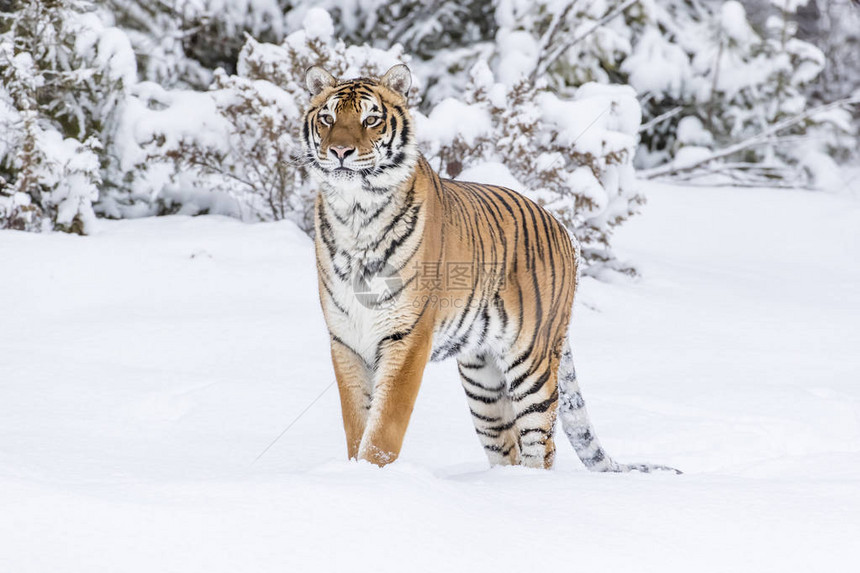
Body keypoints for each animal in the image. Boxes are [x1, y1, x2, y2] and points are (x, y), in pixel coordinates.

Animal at [302, 63, 680, 474]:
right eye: (328, 118)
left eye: (371, 119)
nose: (340, 151)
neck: (355, 212)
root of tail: (565, 231)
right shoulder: (346, 340)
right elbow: (357, 423)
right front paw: (354, 471)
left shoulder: (407, 336)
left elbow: (384, 428)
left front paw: (372, 474)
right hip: (481, 376)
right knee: (506, 445)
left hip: (532, 360)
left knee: (541, 445)